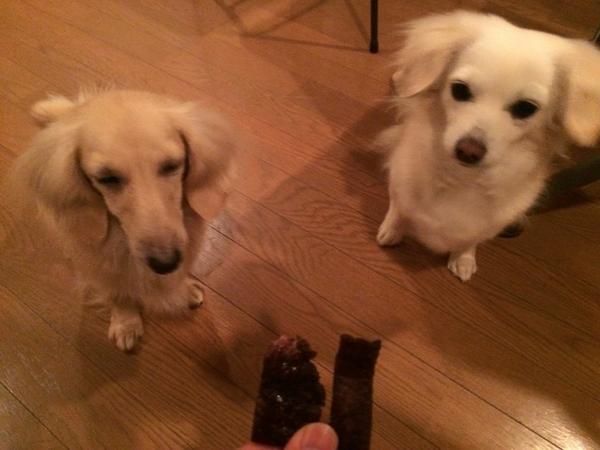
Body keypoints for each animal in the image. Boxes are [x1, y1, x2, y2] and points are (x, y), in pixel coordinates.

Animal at [11, 90, 237, 350]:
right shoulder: (100, 264)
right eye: (107, 178)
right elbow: (118, 293)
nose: (165, 263)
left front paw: (184, 289)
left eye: (172, 165)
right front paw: (126, 323)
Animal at [377, 11, 600, 281]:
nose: (468, 150)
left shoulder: (488, 224)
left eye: (526, 108)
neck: (463, 179)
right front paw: (392, 230)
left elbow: (469, 240)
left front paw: (463, 258)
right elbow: (399, 208)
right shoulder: (401, 181)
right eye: (460, 90)